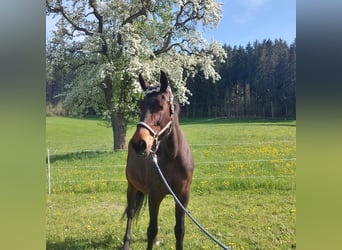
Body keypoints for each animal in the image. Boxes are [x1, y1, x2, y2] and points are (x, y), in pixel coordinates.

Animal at [123, 71, 194, 250]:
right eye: (140, 106)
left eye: (160, 106)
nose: (139, 143)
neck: (172, 156)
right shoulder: (154, 194)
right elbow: (151, 229)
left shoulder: (182, 196)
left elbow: (180, 230)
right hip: (132, 186)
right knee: (131, 212)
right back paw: (126, 242)